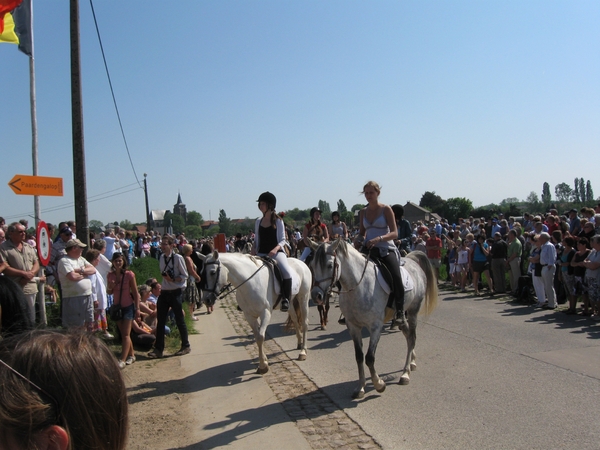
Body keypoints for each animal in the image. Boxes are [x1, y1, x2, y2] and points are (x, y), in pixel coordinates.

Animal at [310, 239, 436, 398]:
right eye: (313, 265)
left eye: (330, 265)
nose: (316, 296)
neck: (359, 286)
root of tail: (412, 261)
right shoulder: (353, 326)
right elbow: (359, 356)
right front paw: (360, 388)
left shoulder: (375, 327)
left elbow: (370, 357)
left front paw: (379, 384)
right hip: (403, 317)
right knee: (409, 336)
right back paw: (411, 363)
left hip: (413, 311)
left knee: (412, 337)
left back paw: (405, 374)